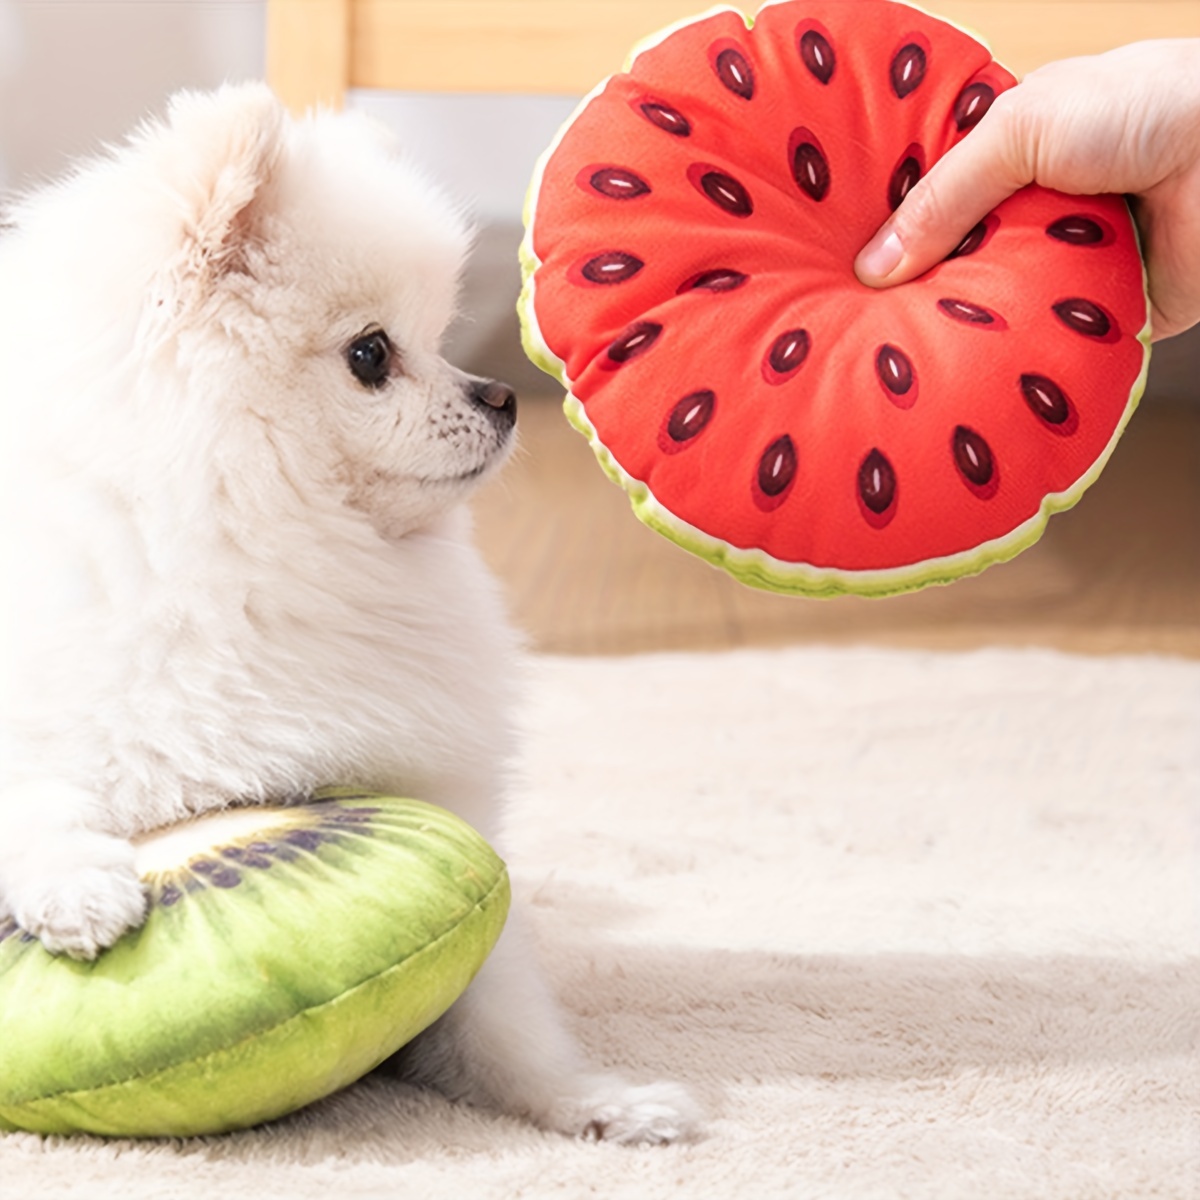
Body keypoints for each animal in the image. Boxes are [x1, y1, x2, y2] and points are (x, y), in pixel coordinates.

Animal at [0, 82, 700, 1142]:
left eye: (440, 336)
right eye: (371, 355)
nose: (500, 396)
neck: (244, 556)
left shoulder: (444, 814)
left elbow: (503, 1017)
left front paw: (594, 1103)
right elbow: (37, 792)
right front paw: (77, 885)